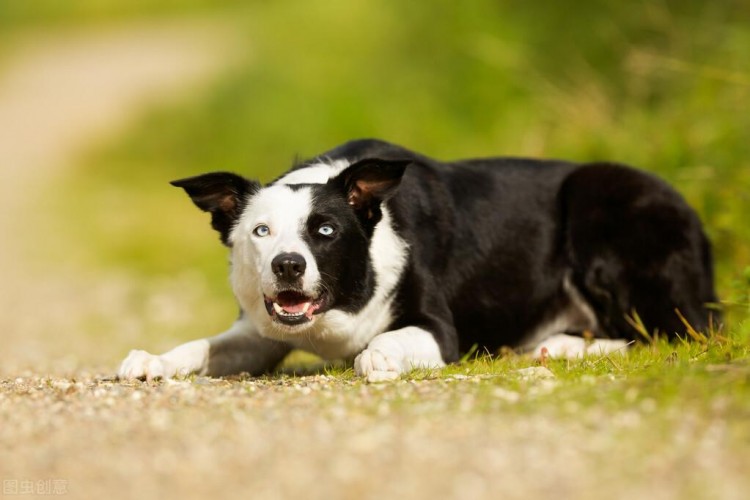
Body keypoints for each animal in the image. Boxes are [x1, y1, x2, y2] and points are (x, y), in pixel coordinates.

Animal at [120, 139, 720, 380]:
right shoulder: (259, 333)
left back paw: (563, 346)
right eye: (260, 231)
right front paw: (152, 360)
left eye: (326, 230)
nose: (288, 265)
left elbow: (388, 341)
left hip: (601, 204)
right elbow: (202, 346)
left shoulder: (437, 328)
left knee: (677, 331)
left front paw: (377, 357)